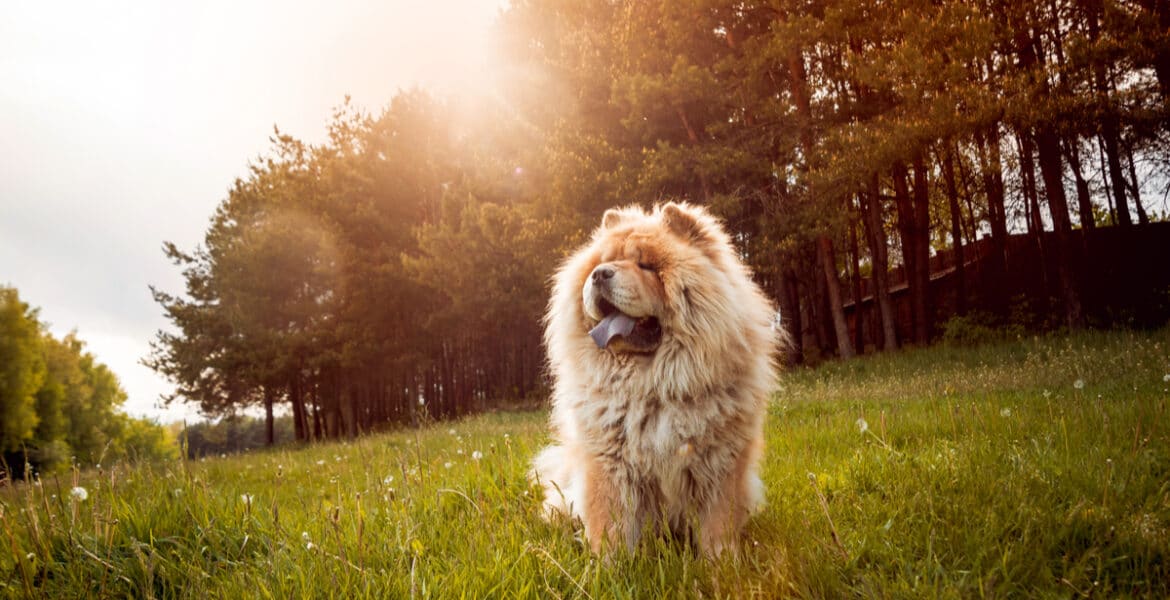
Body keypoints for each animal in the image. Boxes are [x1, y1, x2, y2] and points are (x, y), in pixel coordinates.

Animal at [535, 201, 781, 556]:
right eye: (601, 263)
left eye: (646, 265)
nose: (600, 274)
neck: (652, 384)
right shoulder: (609, 465)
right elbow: (611, 523)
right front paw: (610, 564)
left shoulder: (720, 463)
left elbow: (718, 523)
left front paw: (722, 562)